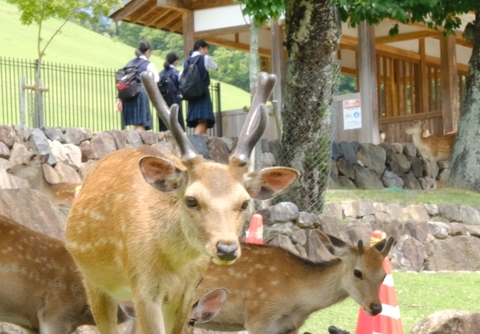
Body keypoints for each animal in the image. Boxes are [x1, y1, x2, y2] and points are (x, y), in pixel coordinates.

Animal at [65, 71, 298, 334]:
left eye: (244, 202)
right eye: (191, 200)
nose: (226, 249)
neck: (174, 266)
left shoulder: (187, 291)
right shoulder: (143, 284)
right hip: (93, 281)